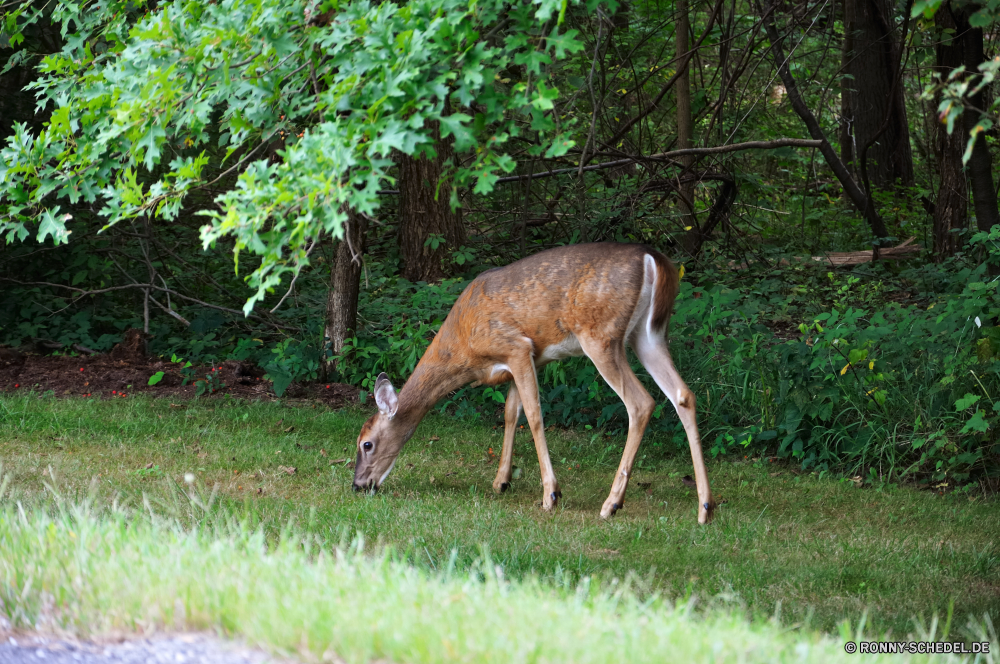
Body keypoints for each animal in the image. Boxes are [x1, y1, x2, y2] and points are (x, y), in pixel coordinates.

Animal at [356, 243, 716, 524]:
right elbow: (510, 412)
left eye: (366, 444)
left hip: (600, 334)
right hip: (649, 333)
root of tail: (654, 259)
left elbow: (533, 414)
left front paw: (551, 495)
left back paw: (612, 504)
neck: (463, 349)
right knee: (683, 395)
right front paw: (501, 481)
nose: (357, 485)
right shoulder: (531, 358)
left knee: (641, 402)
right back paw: (705, 507)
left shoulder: (515, 346)